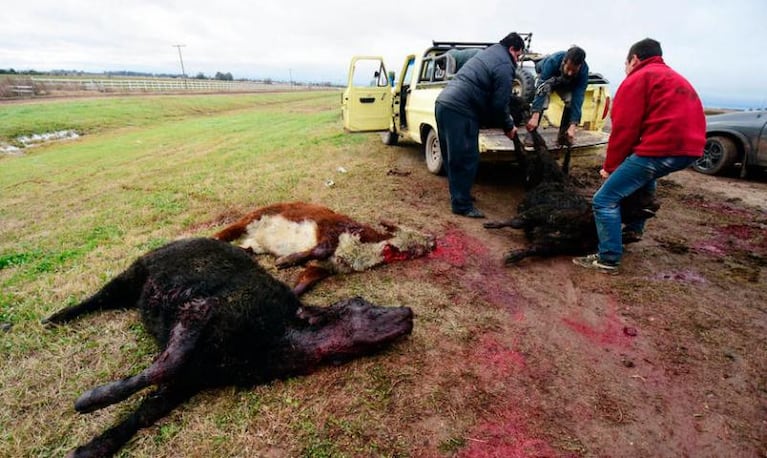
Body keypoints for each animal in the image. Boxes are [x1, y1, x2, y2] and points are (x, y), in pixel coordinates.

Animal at [42, 238, 414, 456]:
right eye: (361, 302)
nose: (409, 313)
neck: (275, 339)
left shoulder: (192, 379)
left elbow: (148, 410)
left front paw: (96, 446)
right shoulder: (197, 311)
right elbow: (162, 366)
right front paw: (90, 400)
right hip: (132, 275)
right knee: (95, 299)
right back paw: (57, 318)